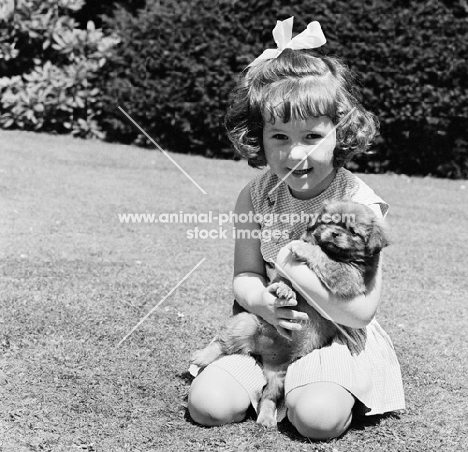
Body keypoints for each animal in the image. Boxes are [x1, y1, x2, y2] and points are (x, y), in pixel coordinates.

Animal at [190, 200, 388, 428]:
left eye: (353, 232)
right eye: (328, 222)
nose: (335, 233)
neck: (333, 251)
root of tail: (262, 354)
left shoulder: (349, 276)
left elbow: (326, 260)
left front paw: (304, 249)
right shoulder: (288, 274)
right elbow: (286, 279)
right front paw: (285, 290)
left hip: (280, 377)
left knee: (268, 397)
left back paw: (266, 418)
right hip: (246, 323)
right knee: (221, 343)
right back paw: (202, 356)